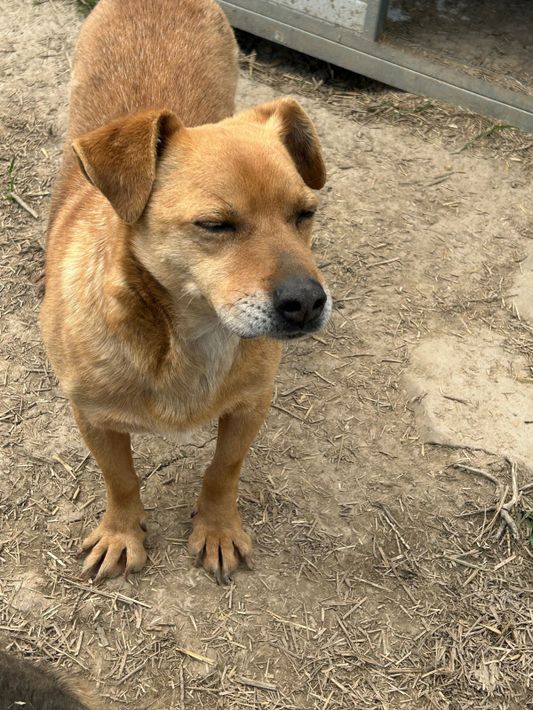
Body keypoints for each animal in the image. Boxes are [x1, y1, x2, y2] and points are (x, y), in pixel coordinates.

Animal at [41, 0, 331, 584]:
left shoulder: (251, 404)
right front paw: (122, 533)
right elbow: (121, 480)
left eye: (305, 214)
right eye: (215, 225)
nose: (308, 302)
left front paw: (217, 528)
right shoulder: (92, 417)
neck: (189, 334)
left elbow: (223, 469)